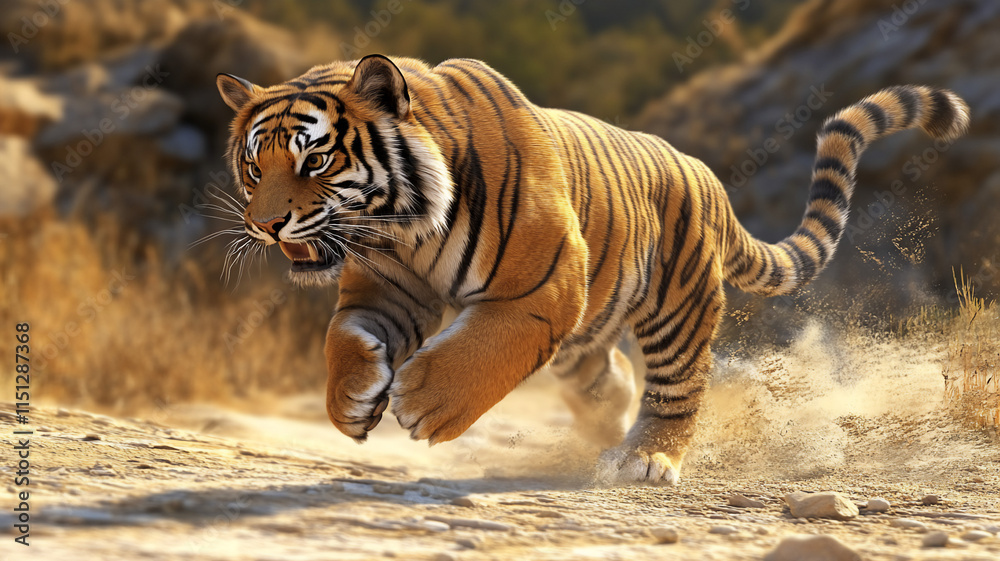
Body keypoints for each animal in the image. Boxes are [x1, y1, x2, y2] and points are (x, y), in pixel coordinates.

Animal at [215, 54, 969, 485]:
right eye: (254, 165)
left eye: (315, 159)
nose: (265, 224)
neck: (401, 226)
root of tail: (707, 178)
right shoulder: (385, 289)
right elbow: (344, 339)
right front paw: (350, 399)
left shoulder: (544, 283)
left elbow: (484, 349)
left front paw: (427, 402)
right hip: (590, 336)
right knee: (611, 380)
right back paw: (608, 432)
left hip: (677, 307)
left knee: (676, 387)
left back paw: (644, 458)